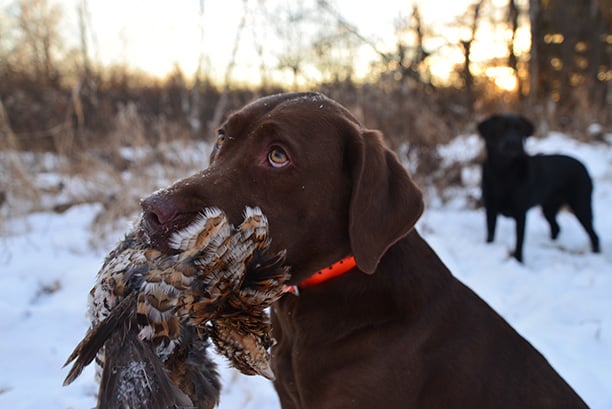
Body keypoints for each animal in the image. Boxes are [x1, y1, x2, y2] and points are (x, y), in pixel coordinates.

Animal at [478, 114, 596, 262]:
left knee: (594, 235)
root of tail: (584, 167)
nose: (514, 143)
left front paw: (519, 261)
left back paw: (596, 253)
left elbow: (519, 241)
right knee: (556, 227)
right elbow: (490, 235)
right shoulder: (490, 209)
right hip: (549, 208)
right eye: (501, 128)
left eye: (520, 129)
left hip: (581, 206)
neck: (503, 172)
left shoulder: (520, 213)